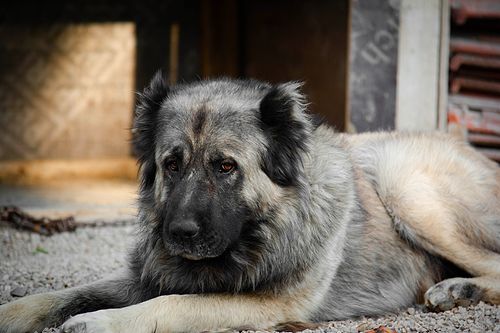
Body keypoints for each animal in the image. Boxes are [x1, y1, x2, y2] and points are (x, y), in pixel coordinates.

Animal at [0, 73, 500, 332]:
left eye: (225, 166)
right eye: (172, 165)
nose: (179, 234)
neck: (260, 230)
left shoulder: (267, 305)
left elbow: (171, 305)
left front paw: (100, 321)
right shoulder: (146, 275)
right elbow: (63, 294)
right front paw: (14, 312)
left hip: (403, 183)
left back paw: (459, 289)